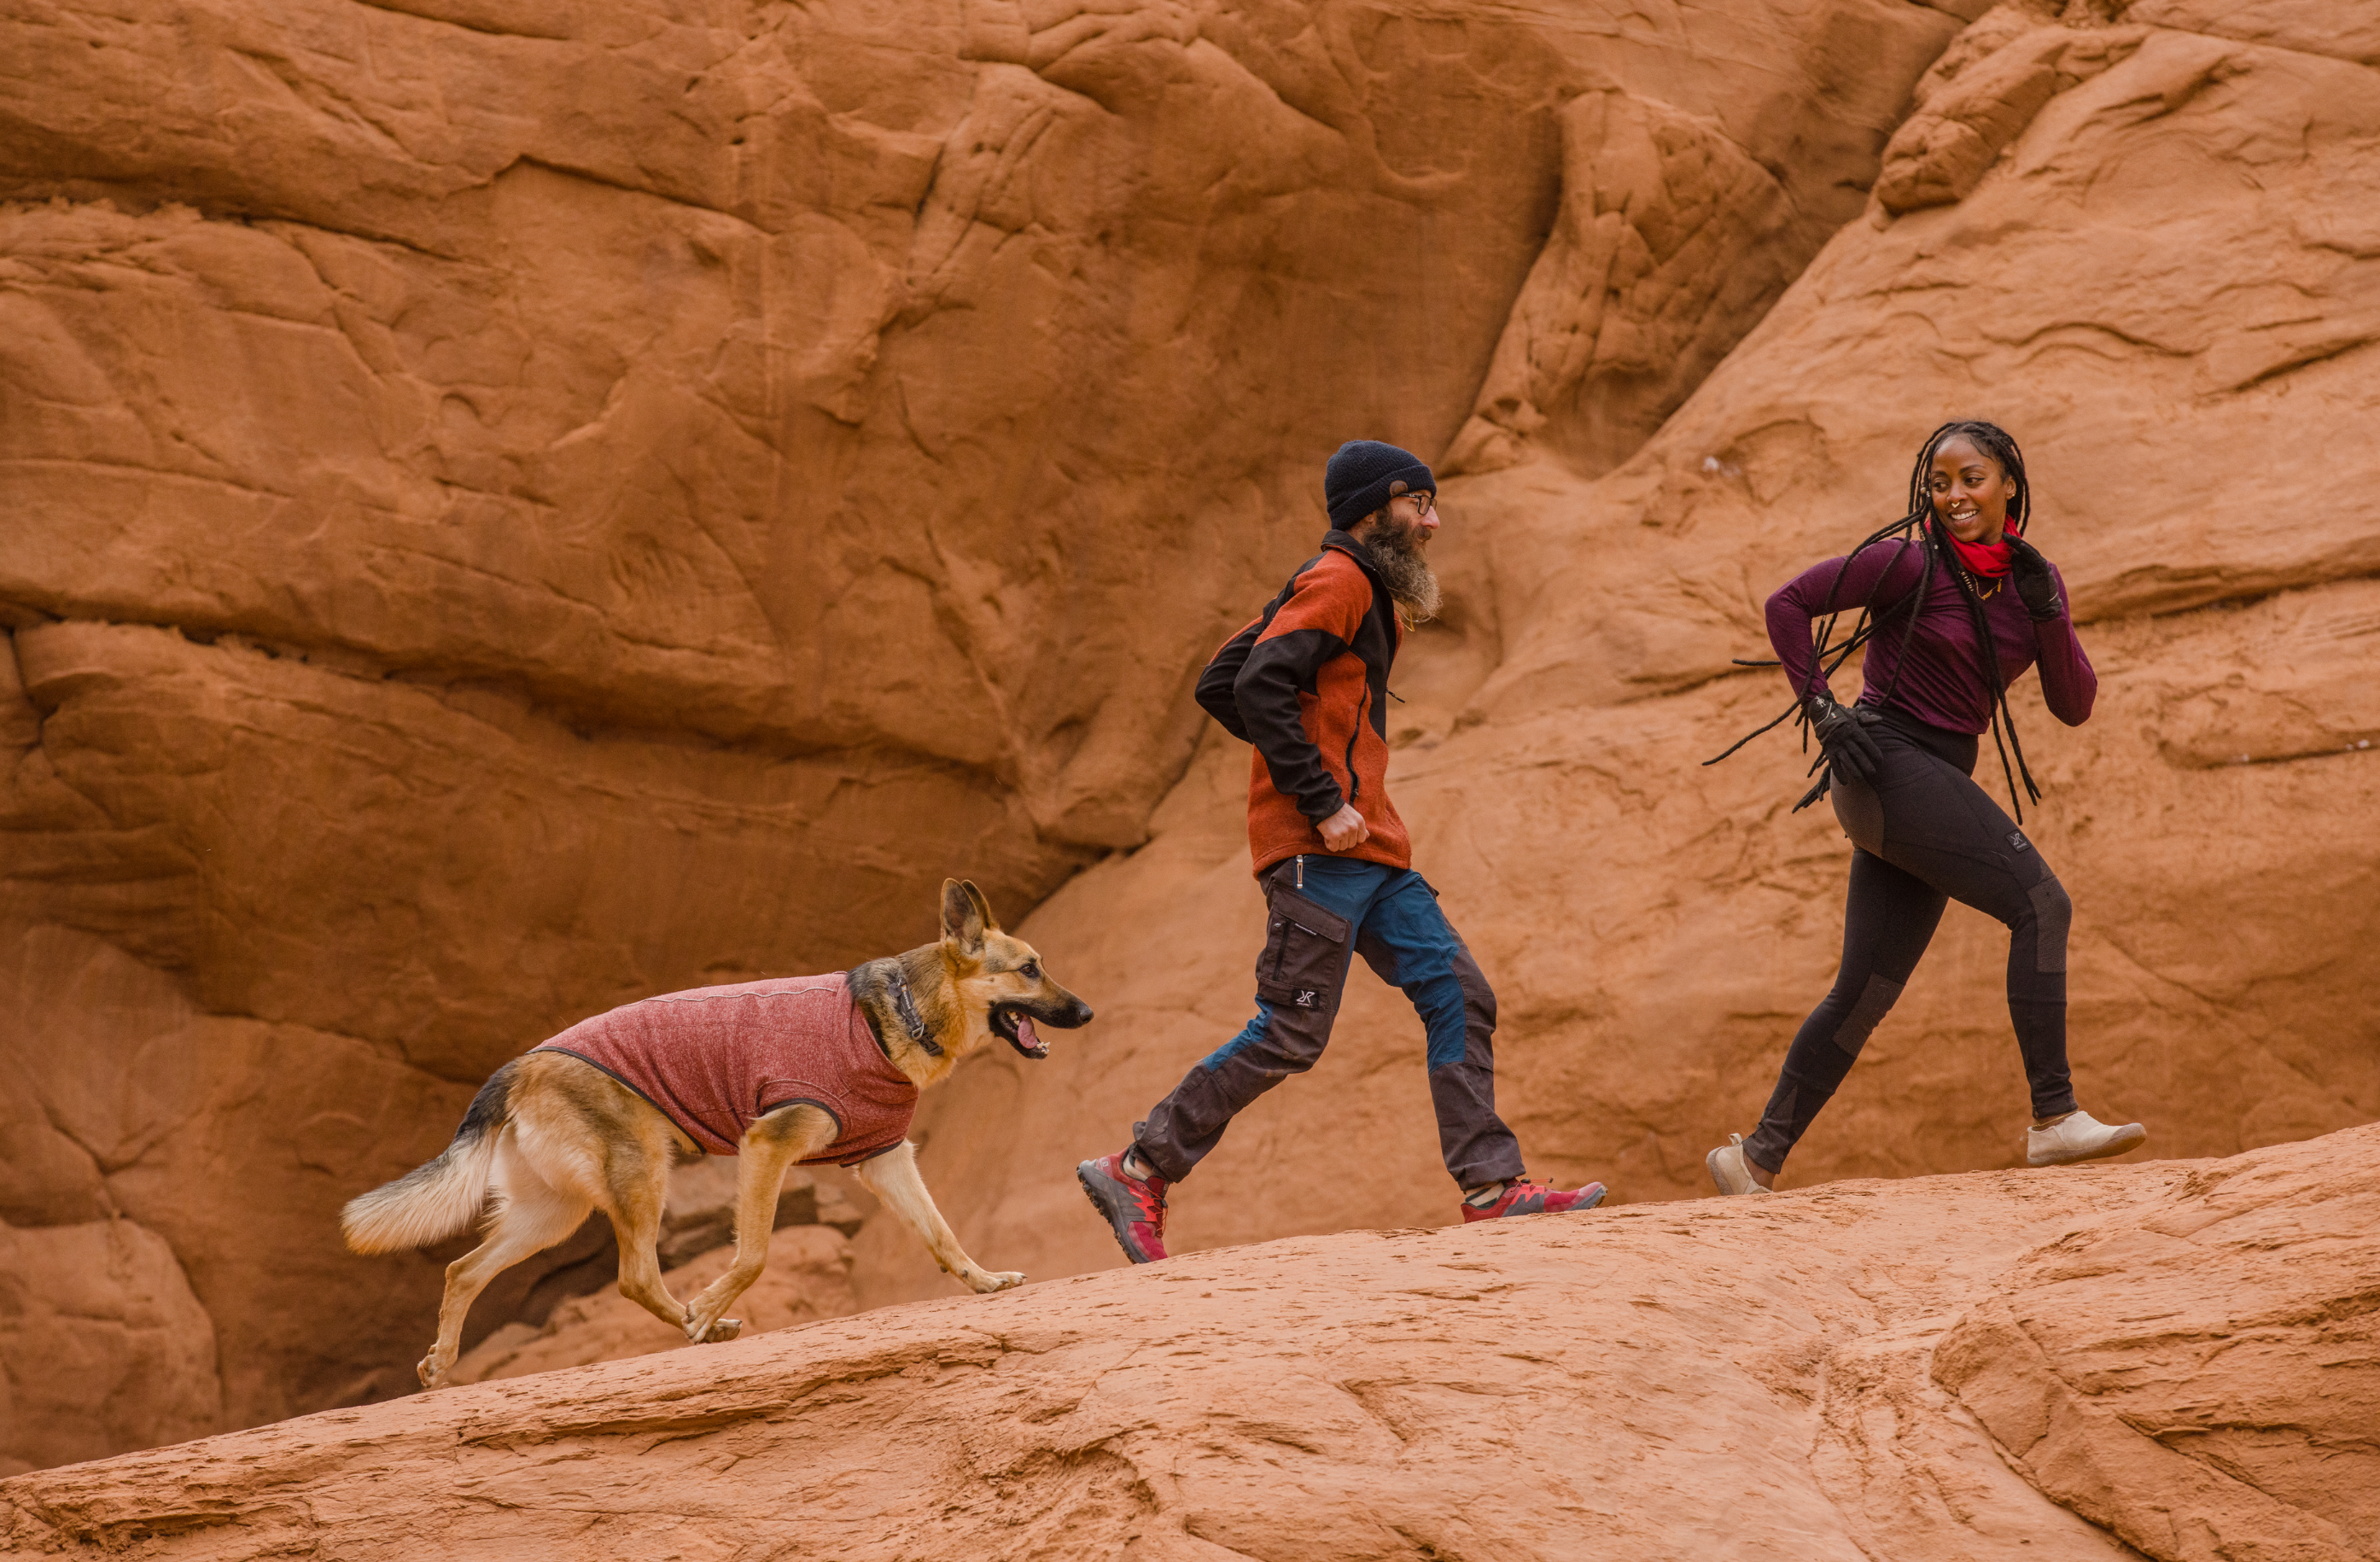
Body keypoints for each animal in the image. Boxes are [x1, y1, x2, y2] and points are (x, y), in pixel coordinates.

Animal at [340, 876, 1089, 1390]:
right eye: (1029, 969)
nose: (1086, 1012)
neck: (902, 1012)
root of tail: (517, 1067)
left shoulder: (885, 1160)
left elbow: (942, 1233)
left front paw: (984, 1282)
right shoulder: (768, 1147)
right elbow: (753, 1253)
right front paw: (709, 1302)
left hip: (553, 1212)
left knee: (464, 1270)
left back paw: (442, 1366)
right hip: (641, 1176)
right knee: (635, 1277)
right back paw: (697, 1322)